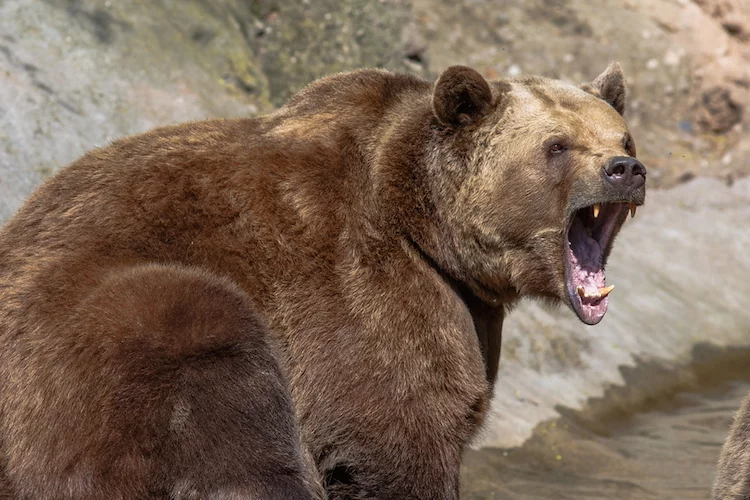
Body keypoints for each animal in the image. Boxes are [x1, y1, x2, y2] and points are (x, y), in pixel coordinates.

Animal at [0, 62, 645, 499]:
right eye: (557, 146)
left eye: (622, 136)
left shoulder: (464, 310)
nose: (626, 169)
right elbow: (395, 434)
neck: (428, 230)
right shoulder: (366, 290)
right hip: (83, 340)